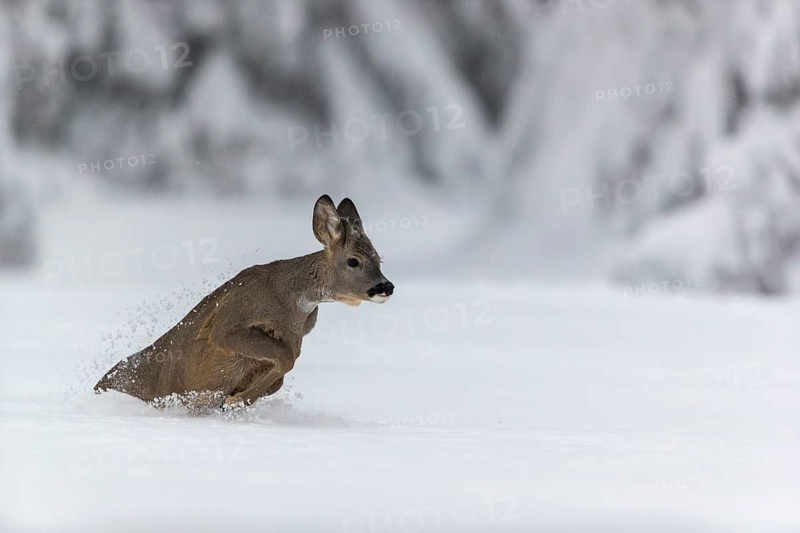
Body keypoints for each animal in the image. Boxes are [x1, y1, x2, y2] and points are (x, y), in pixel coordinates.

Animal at [94, 195, 394, 410]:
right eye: (354, 261)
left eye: (379, 259)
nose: (386, 286)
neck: (291, 302)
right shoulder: (230, 322)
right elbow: (286, 358)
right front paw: (235, 400)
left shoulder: (297, 334)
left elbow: (283, 373)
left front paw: (234, 399)